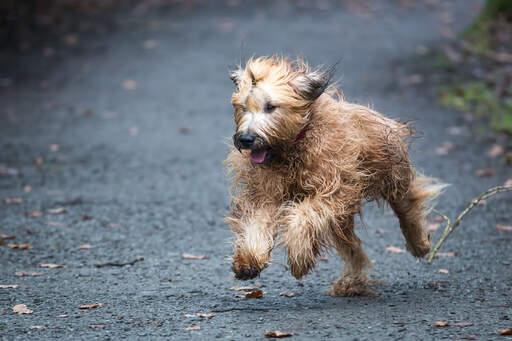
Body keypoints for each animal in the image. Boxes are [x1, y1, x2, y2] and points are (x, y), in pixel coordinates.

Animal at [225, 55, 444, 294]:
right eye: (242, 107)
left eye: (270, 106)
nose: (246, 139)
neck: (295, 145)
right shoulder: (266, 192)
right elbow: (258, 220)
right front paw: (249, 260)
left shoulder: (335, 188)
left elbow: (305, 215)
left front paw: (299, 257)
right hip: (342, 217)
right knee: (352, 246)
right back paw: (352, 280)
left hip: (391, 174)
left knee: (408, 203)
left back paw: (419, 243)